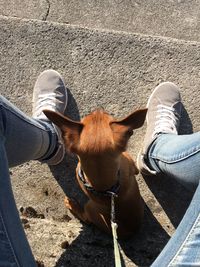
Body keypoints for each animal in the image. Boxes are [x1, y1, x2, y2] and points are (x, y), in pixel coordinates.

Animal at [43, 108, 147, 240]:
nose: (98, 109)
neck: (107, 189)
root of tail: (131, 231)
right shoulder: (129, 162)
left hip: (89, 208)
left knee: (86, 219)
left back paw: (72, 205)